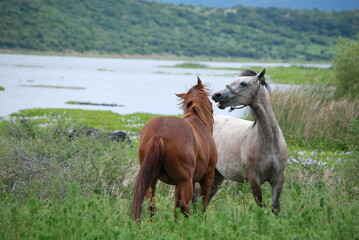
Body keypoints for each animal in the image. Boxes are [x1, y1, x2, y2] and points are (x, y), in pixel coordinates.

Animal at [131, 78, 218, 222]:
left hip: (151, 179)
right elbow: (203, 205)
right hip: (186, 181)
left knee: (152, 206)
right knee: (184, 206)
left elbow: (175, 208)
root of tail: (159, 133)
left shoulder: (177, 184)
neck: (198, 121)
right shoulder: (207, 178)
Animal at [211, 68, 286, 214]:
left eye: (243, 83)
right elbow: (260, 206)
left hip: (217, 175)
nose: (216, 95)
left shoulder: (278, 180)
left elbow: (275, 208)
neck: (270, 143)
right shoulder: (254, 180)